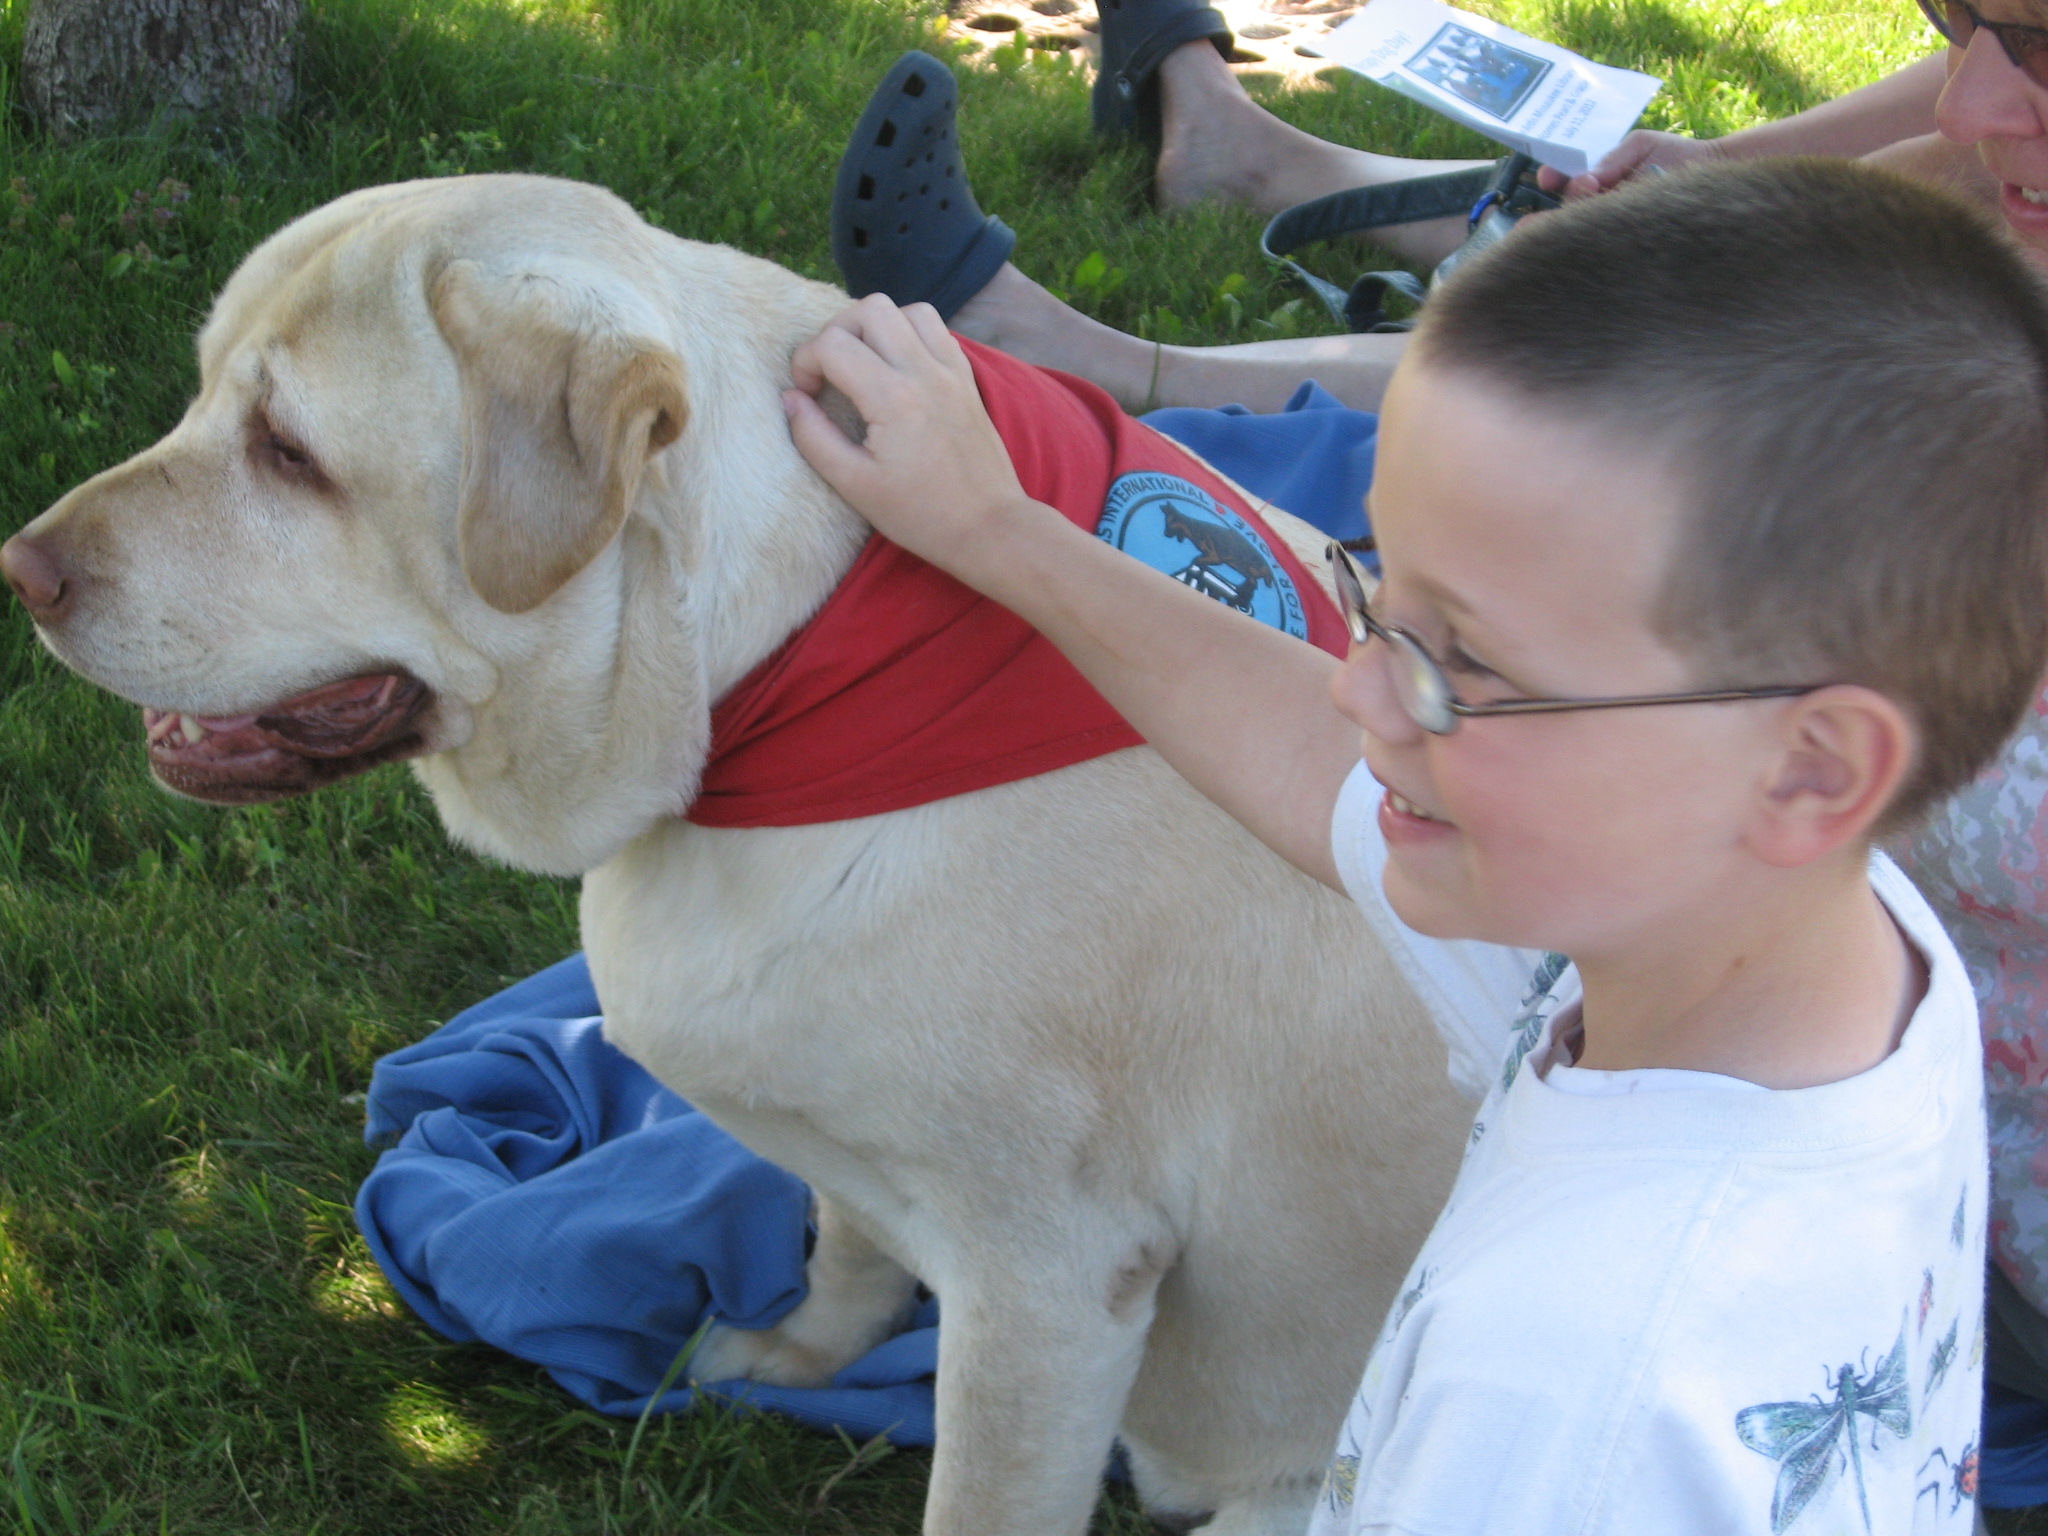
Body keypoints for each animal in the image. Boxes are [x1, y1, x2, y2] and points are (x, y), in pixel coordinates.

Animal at [0, 171, 1474, 1536]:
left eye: (289, 451)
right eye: (202, 393)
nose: (22, 570)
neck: (769, 675)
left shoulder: (1054, 1282)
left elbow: (981, 1483)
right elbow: (851, 1247)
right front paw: (802, 1357)